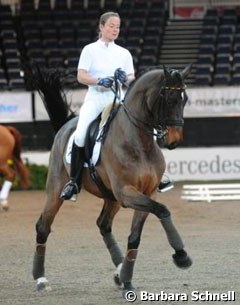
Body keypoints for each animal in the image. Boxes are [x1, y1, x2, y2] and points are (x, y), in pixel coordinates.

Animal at [29, 63, 192, 296]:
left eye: (185, 99)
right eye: (170, 99)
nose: (174, 141)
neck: (138, 142)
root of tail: (66, 125)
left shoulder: (146, 193)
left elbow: (136, 236)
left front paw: (128, 281)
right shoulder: (126, 193)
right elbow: (162, 210)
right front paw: (181, 256)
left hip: (111, 198)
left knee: (103, 225)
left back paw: (120, 272)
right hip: (55, 190)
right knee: (43, 226)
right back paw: (41, 279)